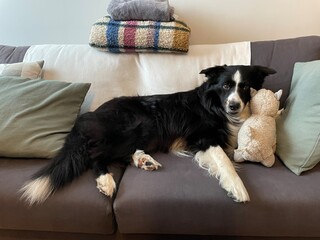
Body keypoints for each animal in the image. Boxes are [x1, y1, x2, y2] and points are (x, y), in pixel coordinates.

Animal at [19, 65, 276, 204]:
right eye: (225, 86)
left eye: (245, 87)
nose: (234, 105)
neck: (214, 106)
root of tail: (90, 115)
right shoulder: (203, 138)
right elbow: (225, 162)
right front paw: (237, 187)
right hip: (134, 126)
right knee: (95, 155)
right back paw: (106, 180)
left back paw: (144, 160)